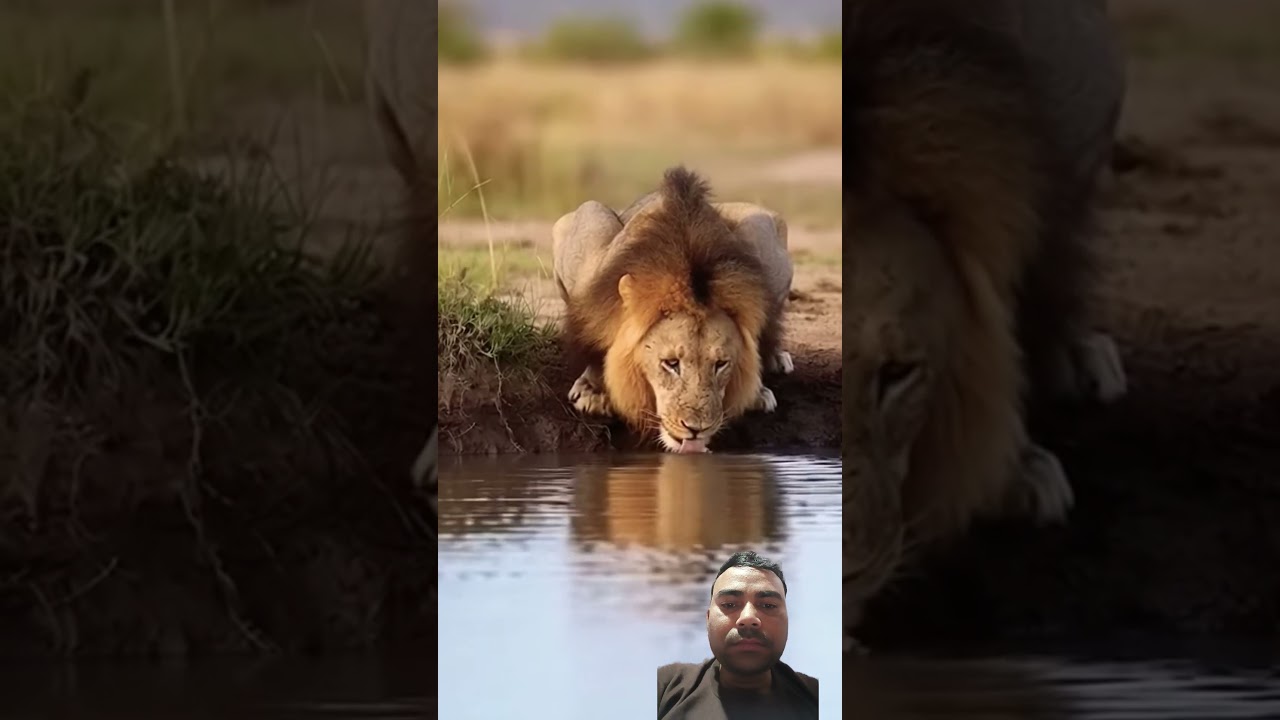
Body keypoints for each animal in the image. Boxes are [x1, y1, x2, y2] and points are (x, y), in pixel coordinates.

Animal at [553, 167, 795, 454]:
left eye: (721, 364)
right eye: (670, 363)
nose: (695, 429)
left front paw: (757, 391)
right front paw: (593, 390)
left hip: (762, 227)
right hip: (582, 216)